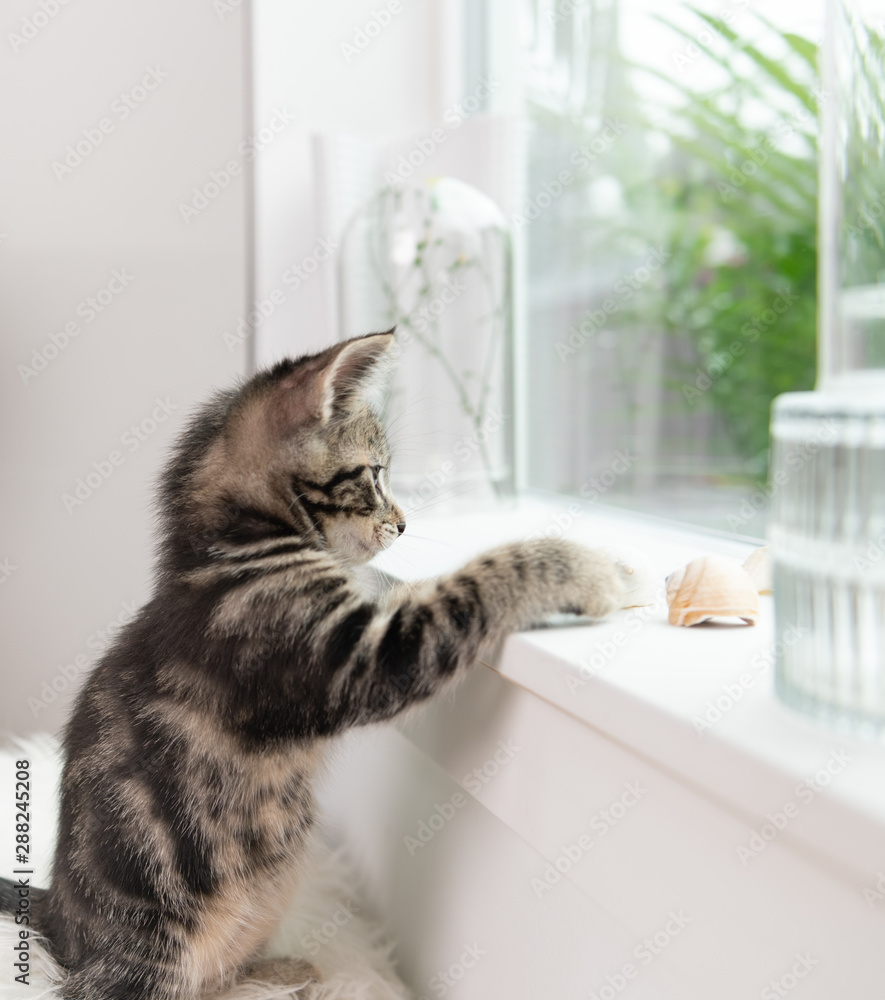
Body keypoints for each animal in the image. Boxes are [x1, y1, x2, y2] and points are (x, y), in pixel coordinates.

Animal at [0, 332, 620, 996]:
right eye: (374, 473)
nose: (405, 524)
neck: (229, 547)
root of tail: (58, 917)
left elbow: (415, 592)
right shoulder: (354, 658)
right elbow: (461, 592)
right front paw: (584, 567)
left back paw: (278, 971)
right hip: (152, 935)